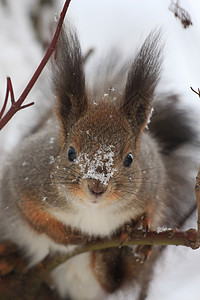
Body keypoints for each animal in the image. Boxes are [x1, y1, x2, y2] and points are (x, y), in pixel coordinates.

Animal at [0, 26, 199, 300]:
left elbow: (154, 207)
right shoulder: (25, 177)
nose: (97, 187)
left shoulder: (153, 181)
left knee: (112, 281)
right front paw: (66, 234)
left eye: (129, 159)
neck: (93, 213)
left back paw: (110, 255)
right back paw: (9, 258)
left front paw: (142, 227)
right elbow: (30, 213)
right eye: (70, 153)